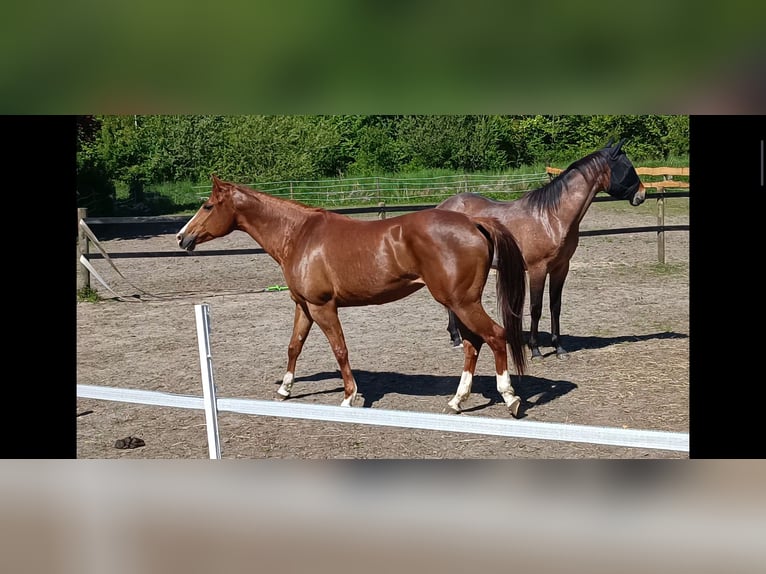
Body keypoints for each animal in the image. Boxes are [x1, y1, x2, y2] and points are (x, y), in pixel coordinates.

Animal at [177, 175, 528, 415]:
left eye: (208, 206)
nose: (182, 237)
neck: (300, 235)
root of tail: (474, 222)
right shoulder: (303, 306)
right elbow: (293, 347)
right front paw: (285, 389)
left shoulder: (323, 307)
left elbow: (340, 350)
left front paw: (348, 396)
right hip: (459, 303)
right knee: (473, 344)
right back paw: (457, 401)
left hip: (462, 302)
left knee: (495, 336)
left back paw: (510, 397)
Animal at [437, 138, 646, 359]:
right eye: (628, 168)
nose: (642, 194)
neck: (551, 218)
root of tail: (443, 206)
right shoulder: (537, 269)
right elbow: (536, 308)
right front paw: (535, 349)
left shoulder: (561, 268)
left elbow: (555, 306)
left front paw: (559, 348)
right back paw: (457, 338)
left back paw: (457, 337)